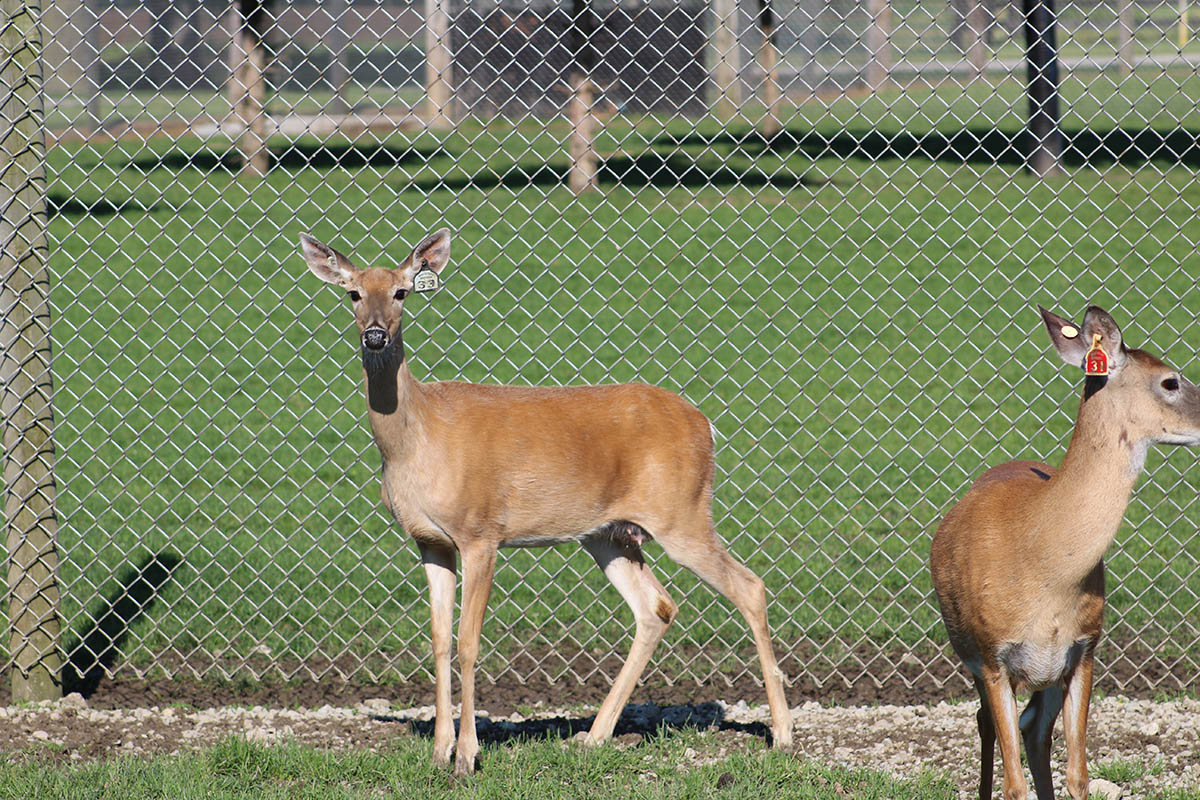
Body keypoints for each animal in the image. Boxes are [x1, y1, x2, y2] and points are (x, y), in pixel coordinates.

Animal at [298, 229, 793, 775]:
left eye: (402, 292)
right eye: (353, 293)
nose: (375, 337)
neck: (417, 439)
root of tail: (706, 424)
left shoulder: (481, 531)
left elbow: (468, 643)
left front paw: (467, 756)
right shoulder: (430, 542)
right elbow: (439, 643)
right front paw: (438, 751)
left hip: (682, 511)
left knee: (749, 586)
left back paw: (783, 736)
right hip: (609, 533)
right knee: (656, 606)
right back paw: (593, 737)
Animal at [930, 305, 1200, 800]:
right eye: (1170, 381)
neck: (1044, 566)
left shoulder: (1084, 648)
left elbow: (1078, 773)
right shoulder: (994, 655)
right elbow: (1013, 783)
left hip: (1047, 673)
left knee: (1033, 729)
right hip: (971, 653)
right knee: (985, 723)